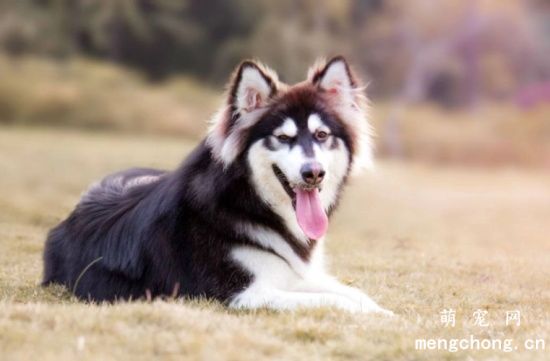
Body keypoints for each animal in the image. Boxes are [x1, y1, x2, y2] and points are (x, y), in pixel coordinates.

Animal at [44, 55, 392, 312]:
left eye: (321, 135)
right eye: (282, 137)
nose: (314, 173)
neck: (249, 201)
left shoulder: (294, 273)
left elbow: (354, 294)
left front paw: (382, 312)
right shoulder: (244, 295)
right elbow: (330, 299)